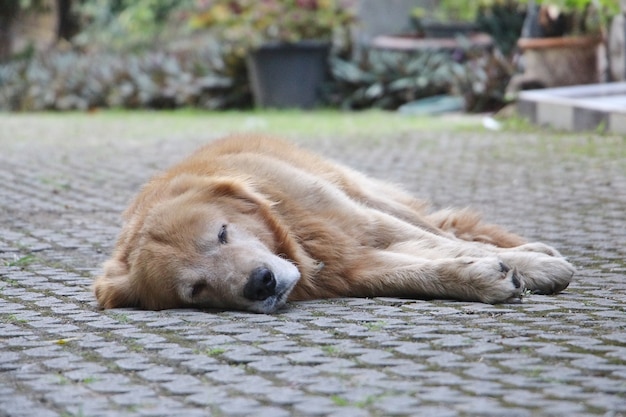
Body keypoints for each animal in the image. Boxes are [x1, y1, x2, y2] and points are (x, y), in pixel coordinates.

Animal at [91, 136, 572, 312]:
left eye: (223, 233)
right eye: (195, 290)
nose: (261, 284)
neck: (299, 239)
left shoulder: (360, 220)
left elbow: (448, 244)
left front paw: (535, 265)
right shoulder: (352, 269)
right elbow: (423, 271)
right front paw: (485, 278)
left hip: (365, 193)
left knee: (443, 227)